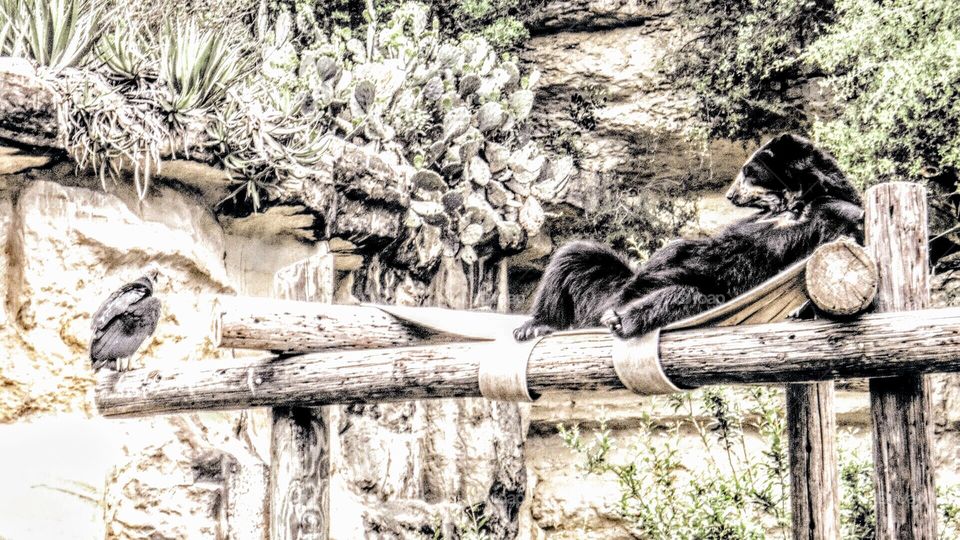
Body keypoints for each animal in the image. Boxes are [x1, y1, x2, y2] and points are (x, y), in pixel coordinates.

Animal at [513, 133, 864, 341]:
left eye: (749, 171)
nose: (730, 195)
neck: (795, 201)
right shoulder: (760, 218)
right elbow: (688, 246)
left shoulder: (829, 212)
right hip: (603, 288)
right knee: (575, 255)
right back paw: (537, 324)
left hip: (708, 295)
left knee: (677, 297)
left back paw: (621, 319)